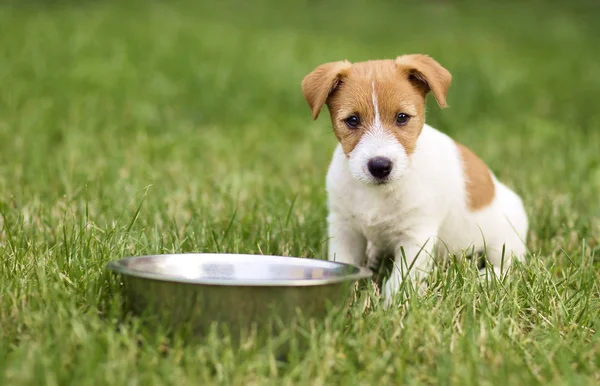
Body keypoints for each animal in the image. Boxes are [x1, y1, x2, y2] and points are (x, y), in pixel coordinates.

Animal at [302, 55, 528, 308]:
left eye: (402, 117)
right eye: (352, 120)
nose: (379, 166)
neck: (379, 193)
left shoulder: (416, 236)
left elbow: (400, 280)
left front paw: (392, 308)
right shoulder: (344, 228)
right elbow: (345, 262)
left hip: (505, 240)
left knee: (509, 267)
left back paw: (485, 277)